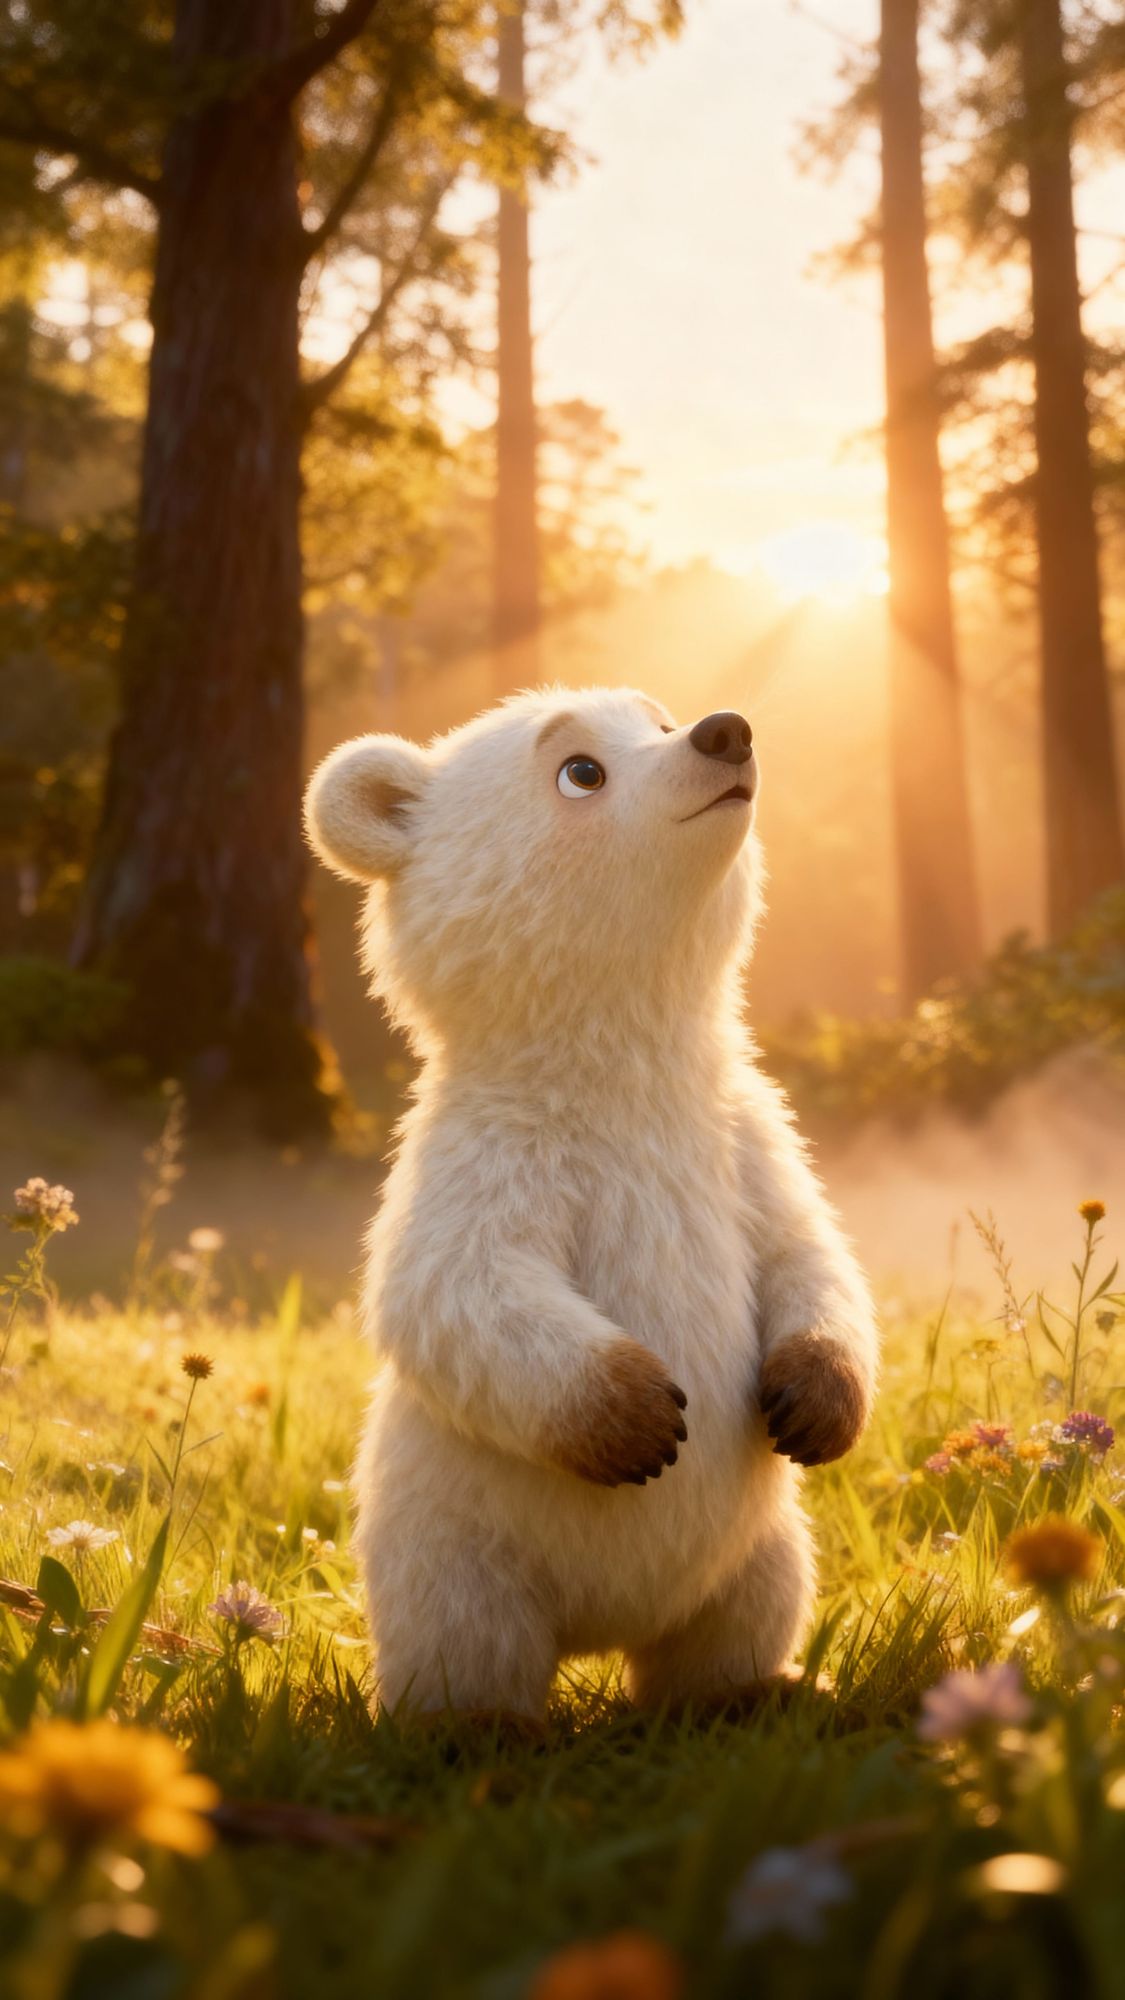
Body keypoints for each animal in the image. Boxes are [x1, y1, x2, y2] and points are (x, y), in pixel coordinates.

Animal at [304, 685, 878, 1719]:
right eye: (579, 769)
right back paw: (482, 1726)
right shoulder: (495, 1152)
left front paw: (816, 1398)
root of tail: (600, 1636)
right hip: (452, 1534)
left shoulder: (744, 1136)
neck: (616, 1071)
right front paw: (638, 1417)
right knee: (463, 1636)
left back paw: (756, 1691)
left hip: (756, 1539)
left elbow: (808, 1253)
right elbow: (453, 1286)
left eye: (657, 720)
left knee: (748, 1608)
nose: (724, 731)